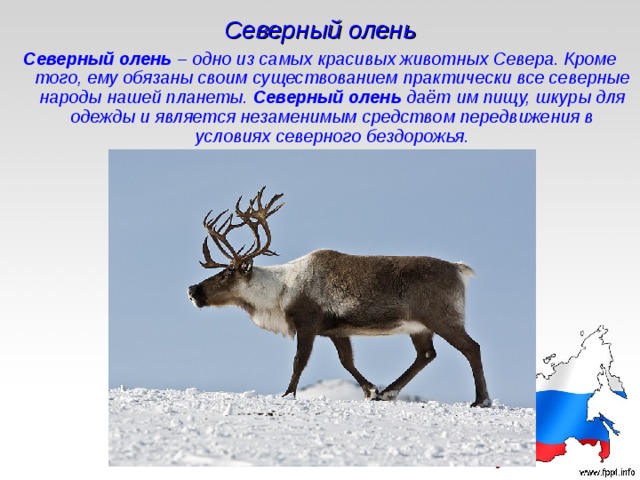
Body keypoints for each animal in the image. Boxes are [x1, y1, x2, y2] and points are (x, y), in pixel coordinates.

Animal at [187, 187, 491, 407]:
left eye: (227, 273)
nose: (192, 290)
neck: (280, 291)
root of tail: (458, 269)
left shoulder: (307, 323)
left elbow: (299, 361)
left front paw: (287, 395)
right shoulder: (336, 330)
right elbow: (347, 361)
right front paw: (371, 390)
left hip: (442, 317)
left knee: (472, 347)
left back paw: (481, 400)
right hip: (419, 327)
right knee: (426, 354)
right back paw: (388, 392)